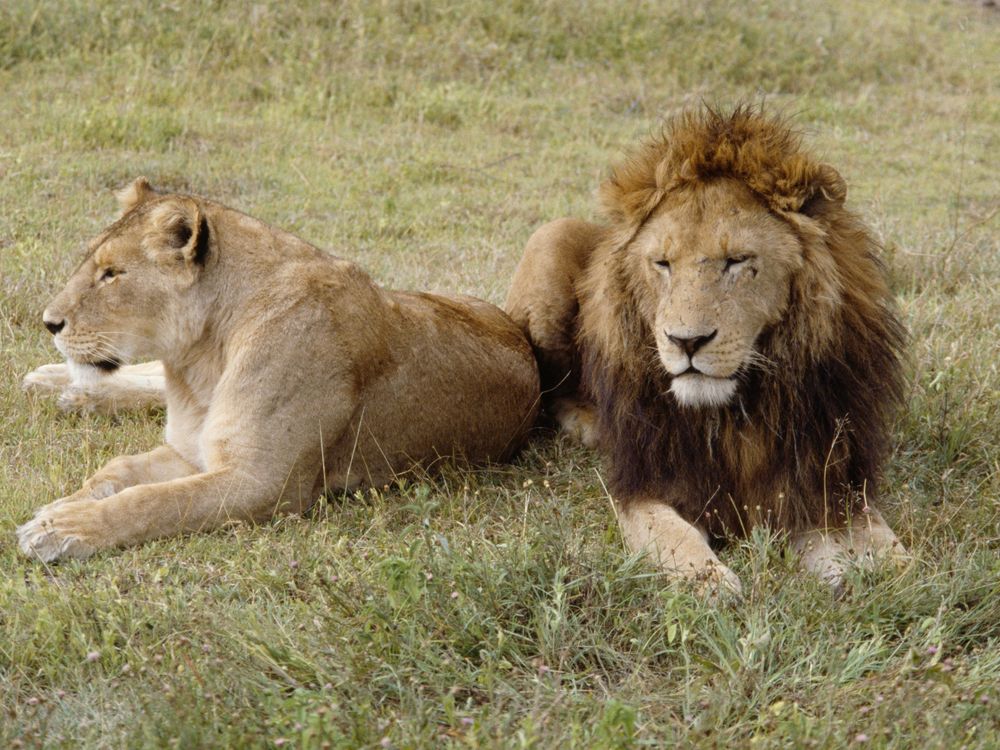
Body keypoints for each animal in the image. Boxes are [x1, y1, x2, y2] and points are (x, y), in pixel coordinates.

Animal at [17, 179, 540, 560]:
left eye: (112, 274)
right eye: (92, 263)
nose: (49, 322)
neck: (201, 359)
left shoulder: (261, 481)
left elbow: (151, 500)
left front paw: (65, 525)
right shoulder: (193, 449)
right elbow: (117, 470)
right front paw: (62, 506)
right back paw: (56, 384)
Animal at [508, 104, 908, 592]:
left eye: (737, 261)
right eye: (662, 263)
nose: (687, 341)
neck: (738, 412)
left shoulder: (825, 477)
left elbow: (891, 548)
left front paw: (879, 573)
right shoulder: (648, 483)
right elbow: (672, 536)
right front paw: (712, 584)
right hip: (550, 240)